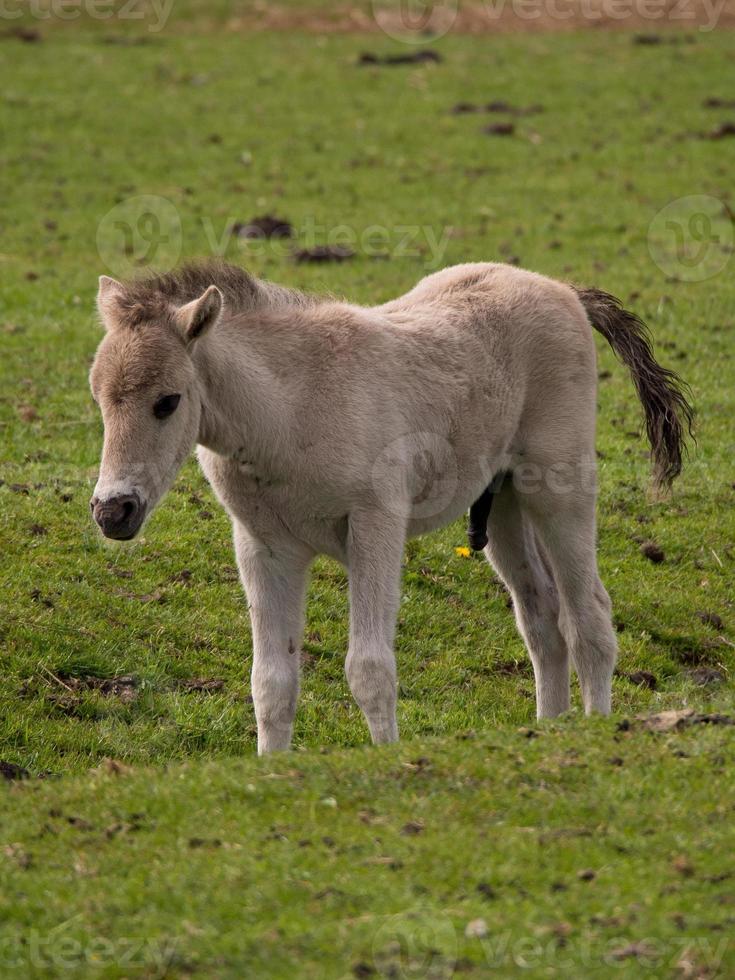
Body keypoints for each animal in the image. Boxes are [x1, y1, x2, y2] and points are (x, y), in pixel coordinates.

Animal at [89, 258, 692, 752]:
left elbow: (370, 667)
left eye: (168, 401)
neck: (290, 408)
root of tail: (565, 291)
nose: (113, 511)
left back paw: (594, 728)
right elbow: (271, 682)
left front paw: (385, 758)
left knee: (589, 616)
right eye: (98, 397)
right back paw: (549, 728)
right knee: (542, 618)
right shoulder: (265, 546)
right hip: (502, 505)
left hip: (557, 491)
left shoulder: (374, 525)